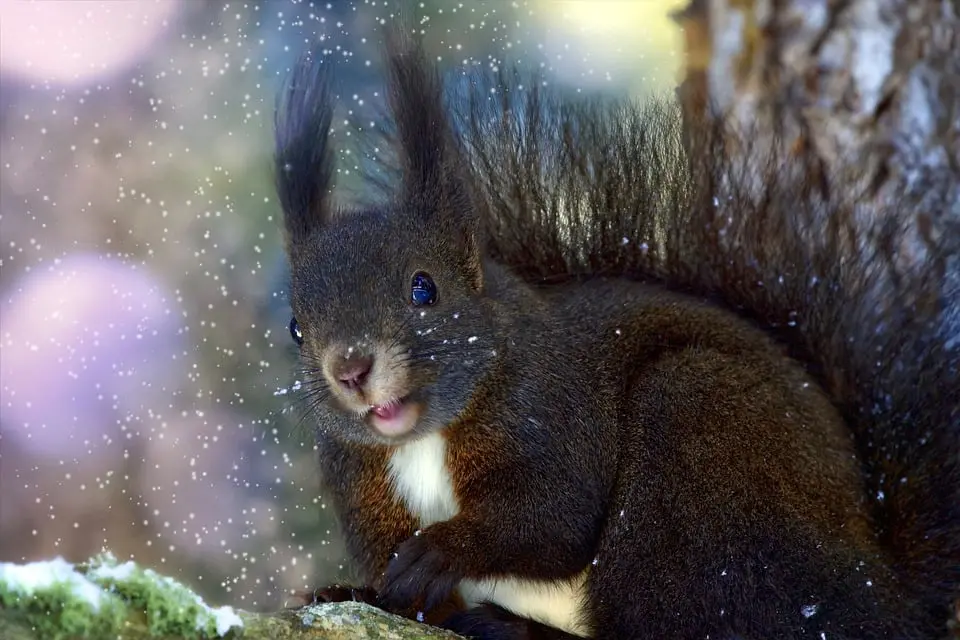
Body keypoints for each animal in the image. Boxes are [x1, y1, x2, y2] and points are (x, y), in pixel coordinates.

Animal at [270, 18, 960, 640]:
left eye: (424, 288)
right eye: (297, 327)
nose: (351, 369)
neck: (425, 440)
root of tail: (883, 591)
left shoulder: (553, 409)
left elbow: (555, 519)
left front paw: (443, 548)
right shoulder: (360, 479)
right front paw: (356, 592)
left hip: (700, 449)